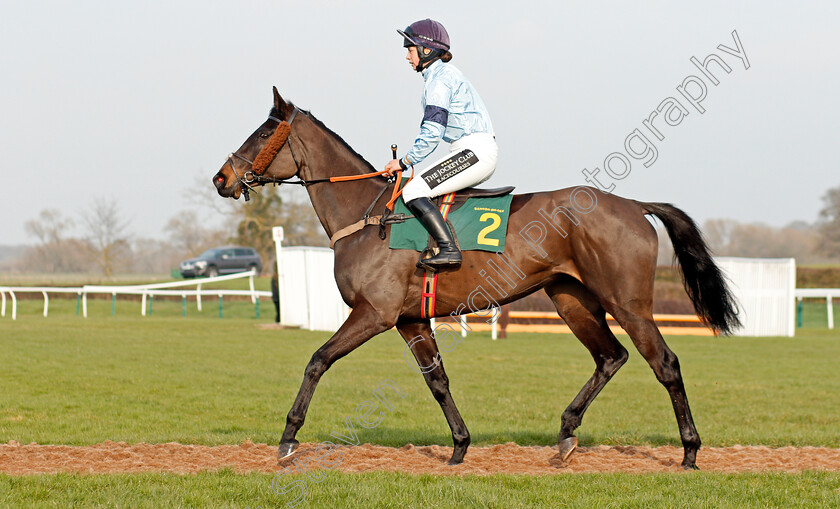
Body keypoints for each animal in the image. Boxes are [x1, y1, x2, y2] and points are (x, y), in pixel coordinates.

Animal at [213, 87, 740, 468]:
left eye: (262, 134)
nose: (221, 179)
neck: (367, 216)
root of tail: (634, 205)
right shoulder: (410, 320)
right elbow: (438, 381)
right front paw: (460, 445)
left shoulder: (374, 314)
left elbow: (317, 361)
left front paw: (287, 440)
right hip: (570, 299)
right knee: (611, 357)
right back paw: (566, 434)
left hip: (628, 303)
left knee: (664, 363)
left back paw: (690, 451)